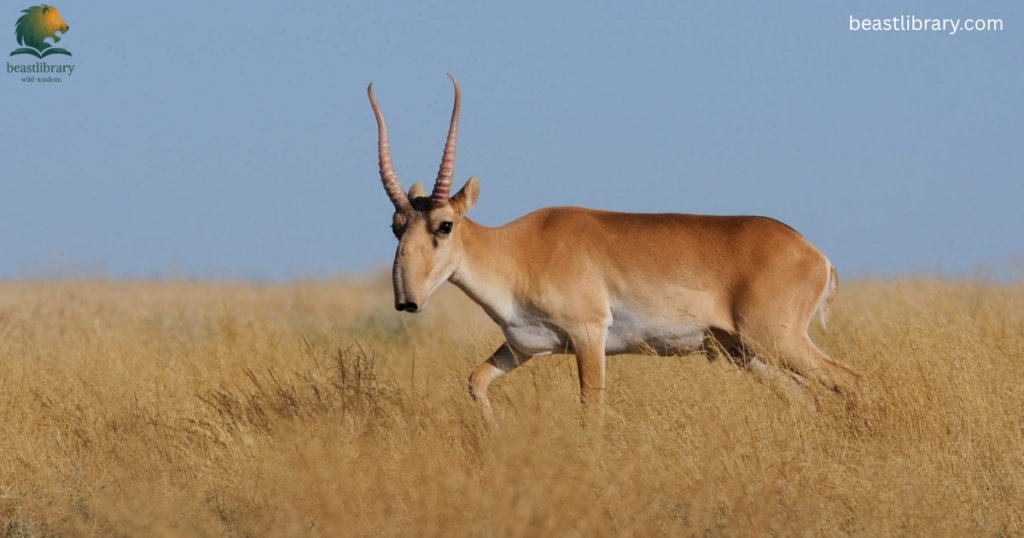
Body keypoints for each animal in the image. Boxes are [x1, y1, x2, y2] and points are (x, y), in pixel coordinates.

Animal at [368, 75, 860, 420]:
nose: (407, 300)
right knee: (806, 401)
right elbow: (475, 381)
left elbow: (593, 413)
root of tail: (814, 254)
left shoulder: (589, 337)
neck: (518, 250)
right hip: (746, 353)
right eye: (396, 226)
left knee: (849, 380)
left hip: (776, 341)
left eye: (444, 225)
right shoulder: (523, 347)